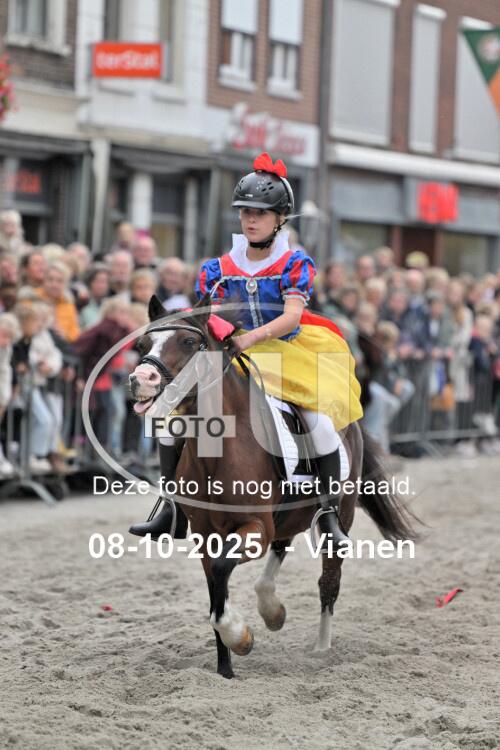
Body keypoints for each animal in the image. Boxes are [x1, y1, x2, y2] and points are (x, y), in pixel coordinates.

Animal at [129, 293, 418, 679]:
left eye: (189, 342)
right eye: (142, 345)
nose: (141, 379)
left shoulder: (256, 527)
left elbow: (222, 571)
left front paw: (240, 636)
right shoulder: (206, 535)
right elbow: (215, 588)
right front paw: (226, 668)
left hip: (338, 516)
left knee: (328, 581)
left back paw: (321, 649)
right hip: (289, 515)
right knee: (282, 546)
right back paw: (271, 608)